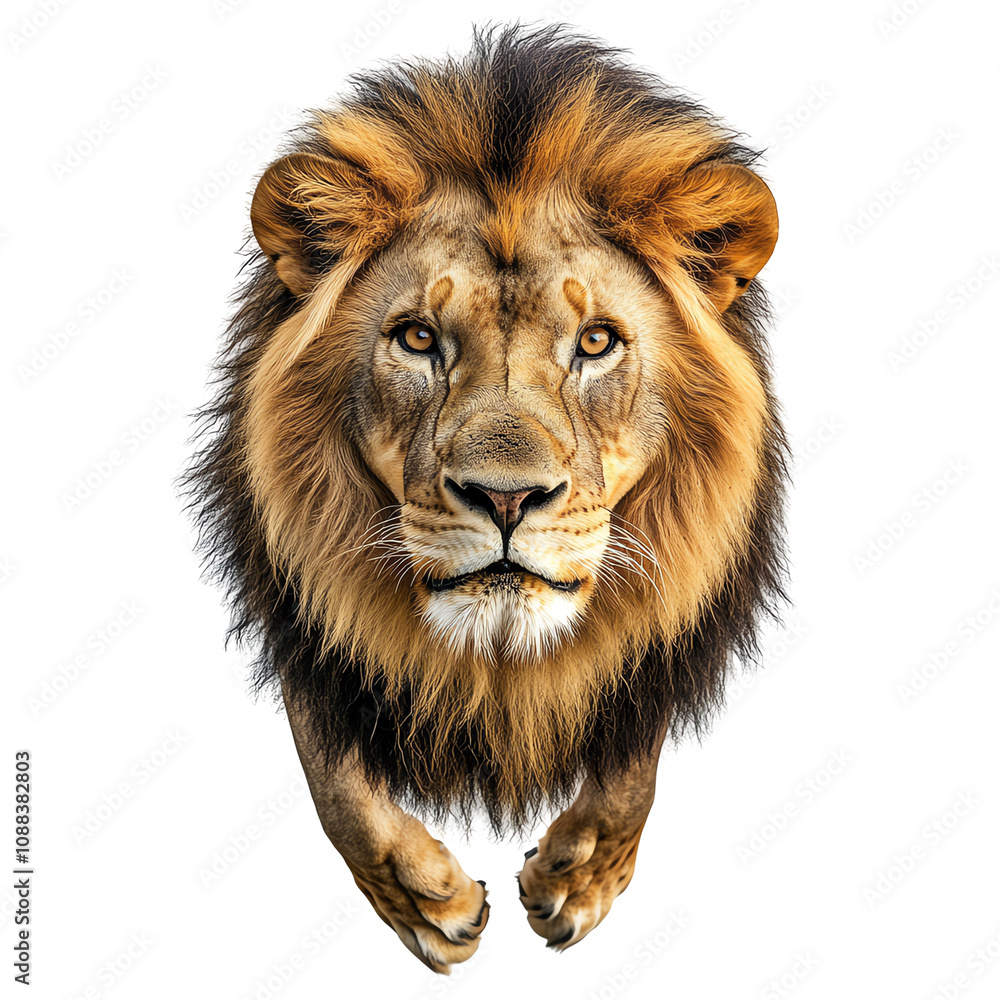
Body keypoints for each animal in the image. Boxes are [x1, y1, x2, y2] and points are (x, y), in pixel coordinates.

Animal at [185, 23, 787, 974]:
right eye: (417, 338)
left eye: (596, 342)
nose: (506, 499)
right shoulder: (300, 609)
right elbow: (332, 773)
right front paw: (429, 902)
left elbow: (630, 759)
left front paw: (578, 879)